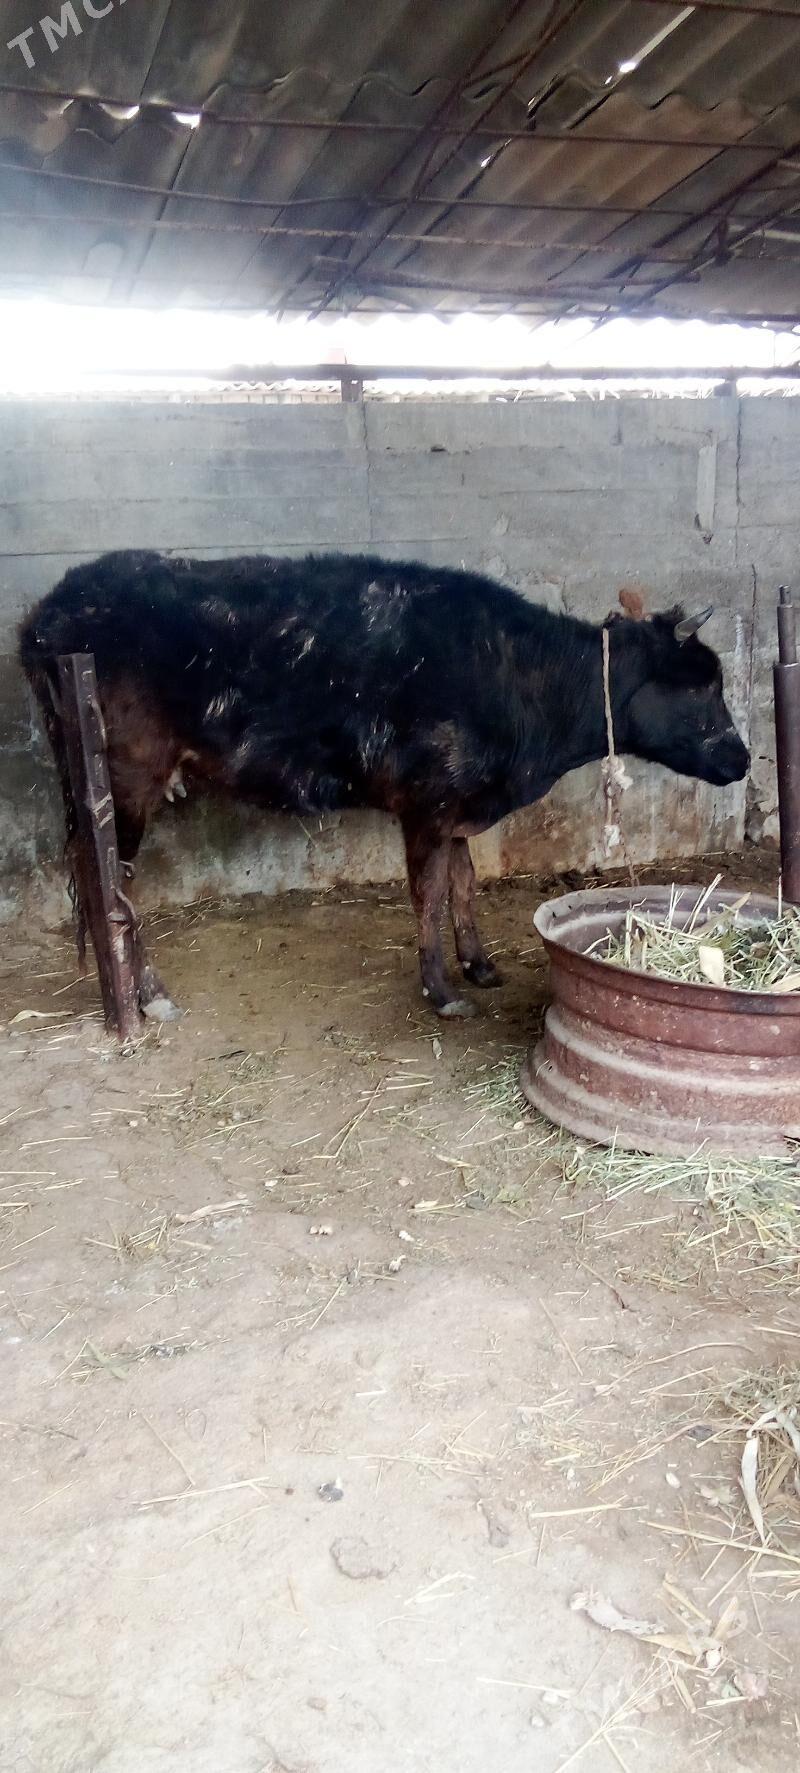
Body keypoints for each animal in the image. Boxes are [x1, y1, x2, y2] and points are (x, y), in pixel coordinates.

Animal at [19, 549, 749, 1019]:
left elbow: (463, 880)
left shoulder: (460, 803)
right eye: (702, 685)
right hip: (123, 778)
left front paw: (479, 965)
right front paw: (441, 991)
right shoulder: (426, 799)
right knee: (110, 884)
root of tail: (47, 614)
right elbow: (428, 891)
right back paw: (148, 995)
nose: (743, 758)